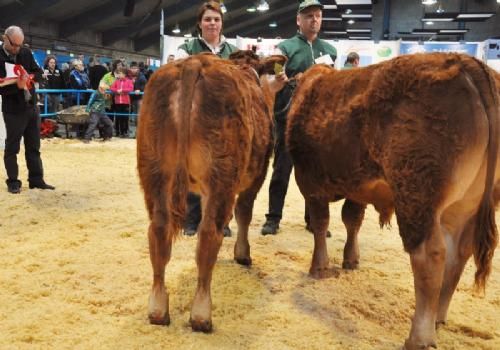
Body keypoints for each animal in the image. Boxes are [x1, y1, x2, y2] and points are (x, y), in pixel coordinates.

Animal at [137, 51, 286, 330]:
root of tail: (195, 62)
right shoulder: (256, 175)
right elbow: (244, 214)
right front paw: (242, 254)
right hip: (222, 173)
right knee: (208, 234)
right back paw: (201, 315)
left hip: (154, 169)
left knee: (159, 229)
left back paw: (158, 310)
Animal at [288, 53, 498, 348]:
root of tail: (467, 62)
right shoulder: (357, 185)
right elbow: (352, 220)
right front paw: (351, 260)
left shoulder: (308, 179)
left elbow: (321, 223)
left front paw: (319, 267)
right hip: (467, 205)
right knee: (459, 253)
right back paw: (438, 317)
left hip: (418, 195)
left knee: (431, 255)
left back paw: (419, 336)